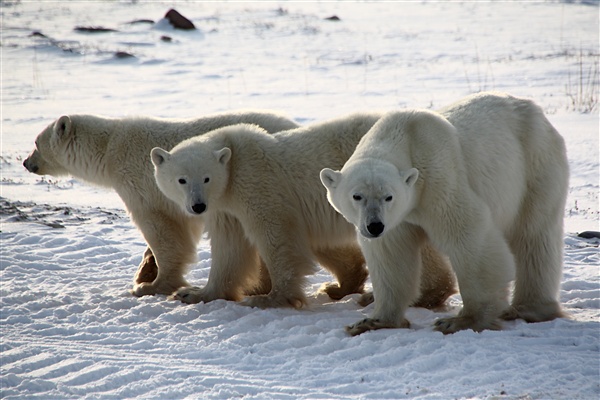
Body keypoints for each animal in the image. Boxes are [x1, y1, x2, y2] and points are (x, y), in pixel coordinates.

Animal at [23, 111, 300, 296]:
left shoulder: (139, 183)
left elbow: (162, 230)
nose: (26, 163)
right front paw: (146, 270)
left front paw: (151, 285)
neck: (109, 148)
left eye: (36, 143)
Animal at [152, 112, 458, 310]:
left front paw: (269, 298)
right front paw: (193, 293)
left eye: (206, 178)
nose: (197, 206)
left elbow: (276, 234)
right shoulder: (226, 209)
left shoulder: (259, 183)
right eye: (181, 180)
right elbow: (230, 249)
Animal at [322, 92, 568, 336]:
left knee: (533, 236)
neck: (405, 138)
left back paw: (529, 309)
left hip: (535, 164)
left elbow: (468, 234)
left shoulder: (439, 178)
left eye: (388, 196)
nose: (374, 226)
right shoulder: (398, 218)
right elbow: (391, 255)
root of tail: (534, 109)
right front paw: (372, 321)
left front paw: (462, 321)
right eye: (357, 196)